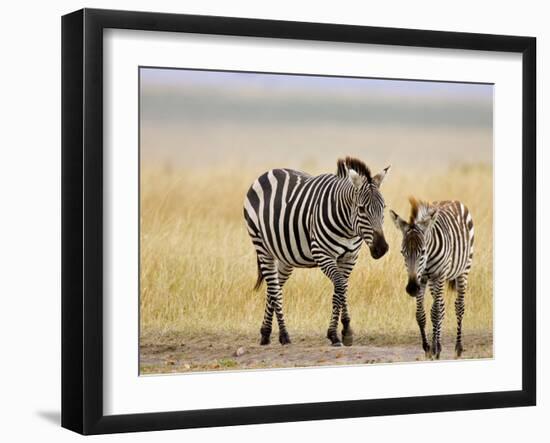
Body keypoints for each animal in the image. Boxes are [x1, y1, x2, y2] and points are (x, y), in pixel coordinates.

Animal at [245, 158, 392, 348]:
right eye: (361, 209)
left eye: (384, 208)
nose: (381, 248)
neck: (348, 229)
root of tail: (268, 172)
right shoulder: (323, 255)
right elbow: (339, 286)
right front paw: (335, 334)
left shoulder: (350, 258)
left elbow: (342, 288)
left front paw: (345, 331)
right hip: (262, 246)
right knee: (274, 289)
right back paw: (284, 335)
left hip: (285, 256)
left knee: (273, 287)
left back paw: (265, 333)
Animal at [390, 199, 476, 360]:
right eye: (402, 252)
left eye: (423, 251)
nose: (412, 288)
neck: (427, 258)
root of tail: (452, 200)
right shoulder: (422, 278)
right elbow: (422, 314)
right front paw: (428, 347)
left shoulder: (439, 275)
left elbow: (435, 313)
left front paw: (435, 348)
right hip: (432, 282)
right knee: (441, 306)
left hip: (463, 269)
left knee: (458, 306)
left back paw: (458, 348)